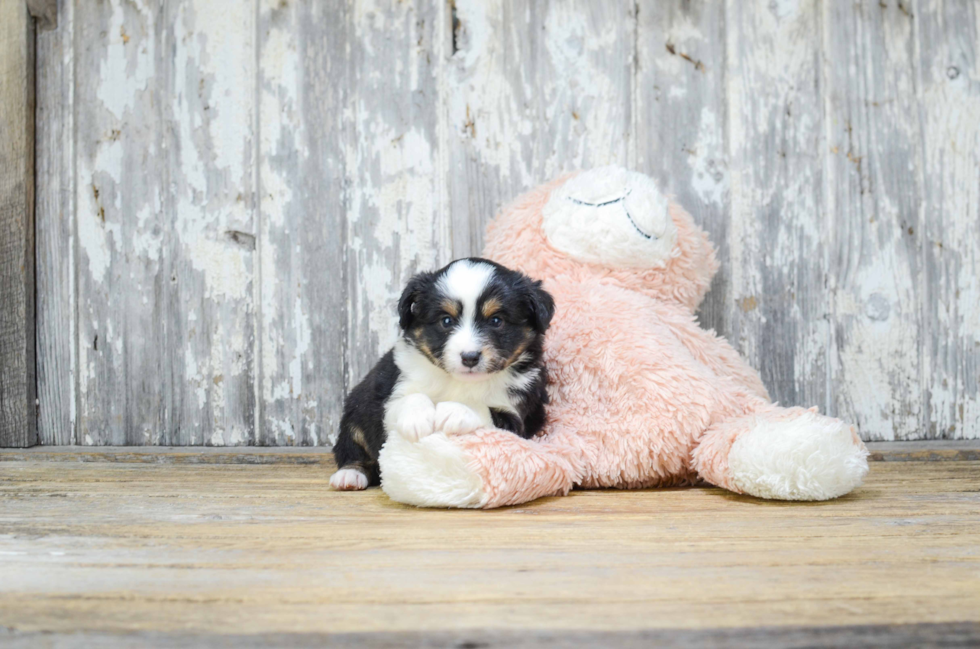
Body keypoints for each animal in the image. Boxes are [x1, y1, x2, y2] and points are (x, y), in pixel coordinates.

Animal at [334, 256, 556, 488]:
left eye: (496, 320)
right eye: (446, 321)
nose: (469, 357)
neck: (459, 381)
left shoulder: (516, 414)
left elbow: (483, 409)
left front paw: (454, 410)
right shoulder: (391, 395)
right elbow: (409, 398)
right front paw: (416, 418)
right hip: (355, 409)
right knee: (351, 447)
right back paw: (349, 474)